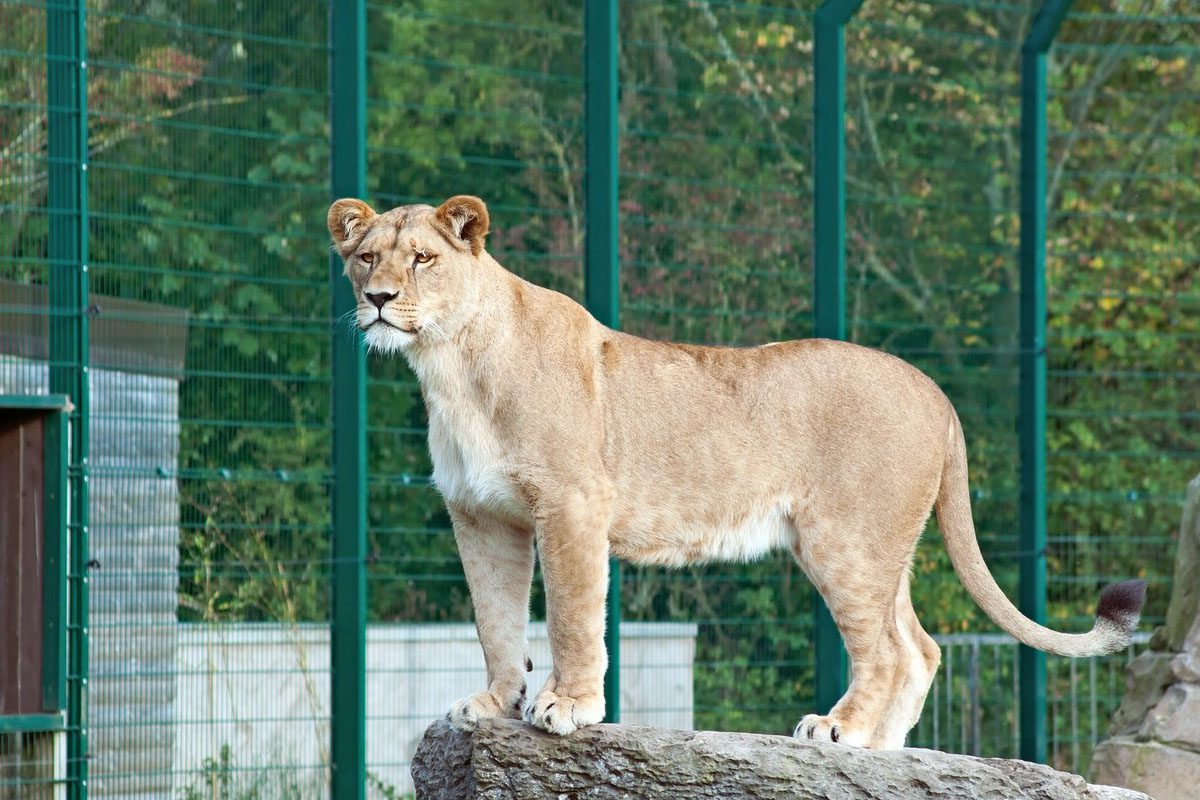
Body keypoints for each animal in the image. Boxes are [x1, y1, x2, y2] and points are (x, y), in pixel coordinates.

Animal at [327, 194, 1146, 749]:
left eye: (423, 259)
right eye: (366, 257)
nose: (379, 299)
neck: (451, 367)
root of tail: (935, 393)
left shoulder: (571, 504)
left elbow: (570, 616)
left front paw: (567, 706)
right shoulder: (481, 515)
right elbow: (495, 620)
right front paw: (495, 704)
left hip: (846, 541)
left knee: (884, 650)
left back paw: (839, 731)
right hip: (877, 549)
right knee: (920, 647)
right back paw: (880, 749)